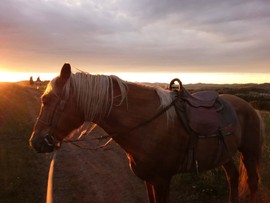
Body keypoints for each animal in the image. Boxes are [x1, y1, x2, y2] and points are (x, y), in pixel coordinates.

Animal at [29, 63, 264, 203]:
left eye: (46, 100)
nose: (35, 142)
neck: (148, 124)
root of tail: (250, 107)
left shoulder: (161, 180)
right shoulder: (148, 180)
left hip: (250, 153)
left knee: (252, 183)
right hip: (225, 155)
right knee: (233, 176)